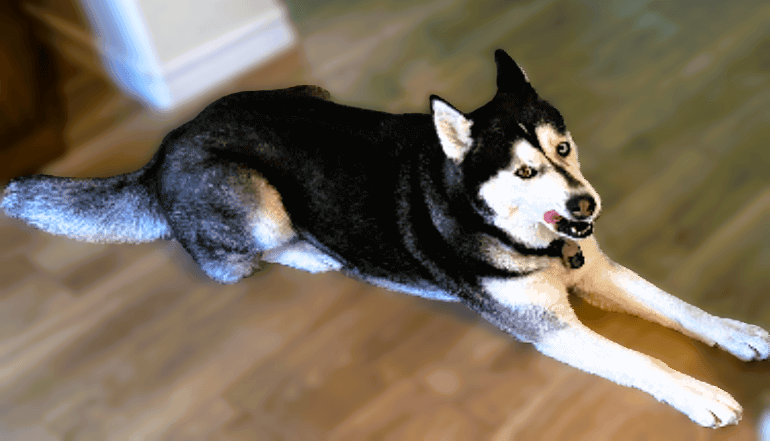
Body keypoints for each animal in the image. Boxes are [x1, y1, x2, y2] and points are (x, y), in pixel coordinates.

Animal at [3, 49, 764, 428]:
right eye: (524, 169)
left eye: (563, 147)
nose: (587, 203)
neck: (504, 226)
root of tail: (165, 146)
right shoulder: (553, 328)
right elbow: (645, 360)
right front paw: (700, 392)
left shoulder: (593, 265)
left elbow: (677, 307)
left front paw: (736, 332)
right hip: (257, 203)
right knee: (225, 260)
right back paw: (311, 253)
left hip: (310, 90)